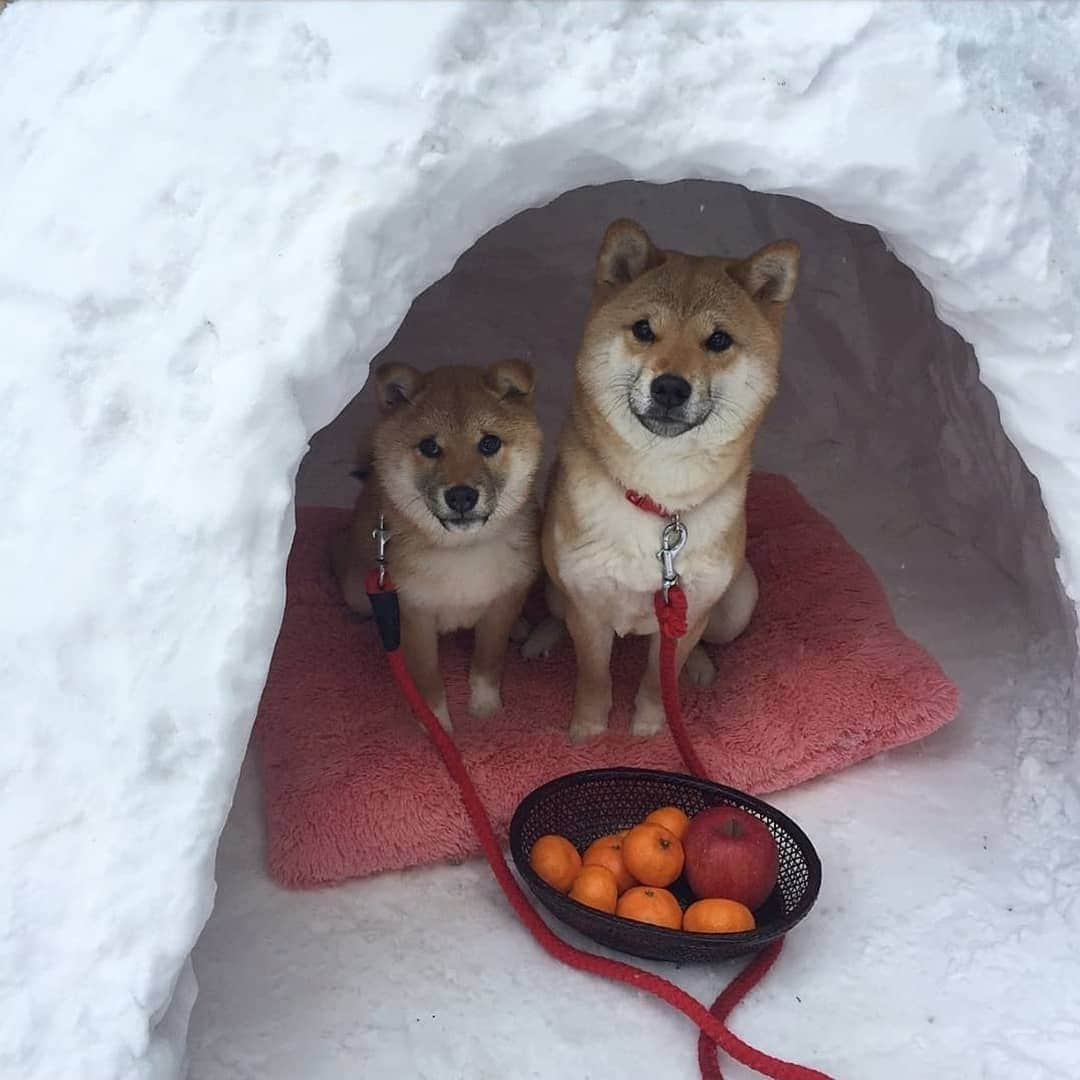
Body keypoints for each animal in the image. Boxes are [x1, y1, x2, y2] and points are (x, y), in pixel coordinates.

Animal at [330, 358, 540, 730]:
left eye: (489, 443)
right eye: (429, 446)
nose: (461, 496)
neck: (462, 552)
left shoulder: (500, 606)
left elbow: (488, 662)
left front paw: (485, 708)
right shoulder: (414, 615)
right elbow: (428, 682)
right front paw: (437, 724)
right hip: (358, 588)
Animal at [527, 219, 799, 743]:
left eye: (718, 340)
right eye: (643, 330)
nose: (670, 387)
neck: (658, 498)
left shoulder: (688, 609)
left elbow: (658, 678)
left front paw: (651, 728)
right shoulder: (588, 603)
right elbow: (594, 676)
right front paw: (588, 731)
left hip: (737, 603)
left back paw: (700, 666)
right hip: (555, 582)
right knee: (556, 610)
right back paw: (541, 636)